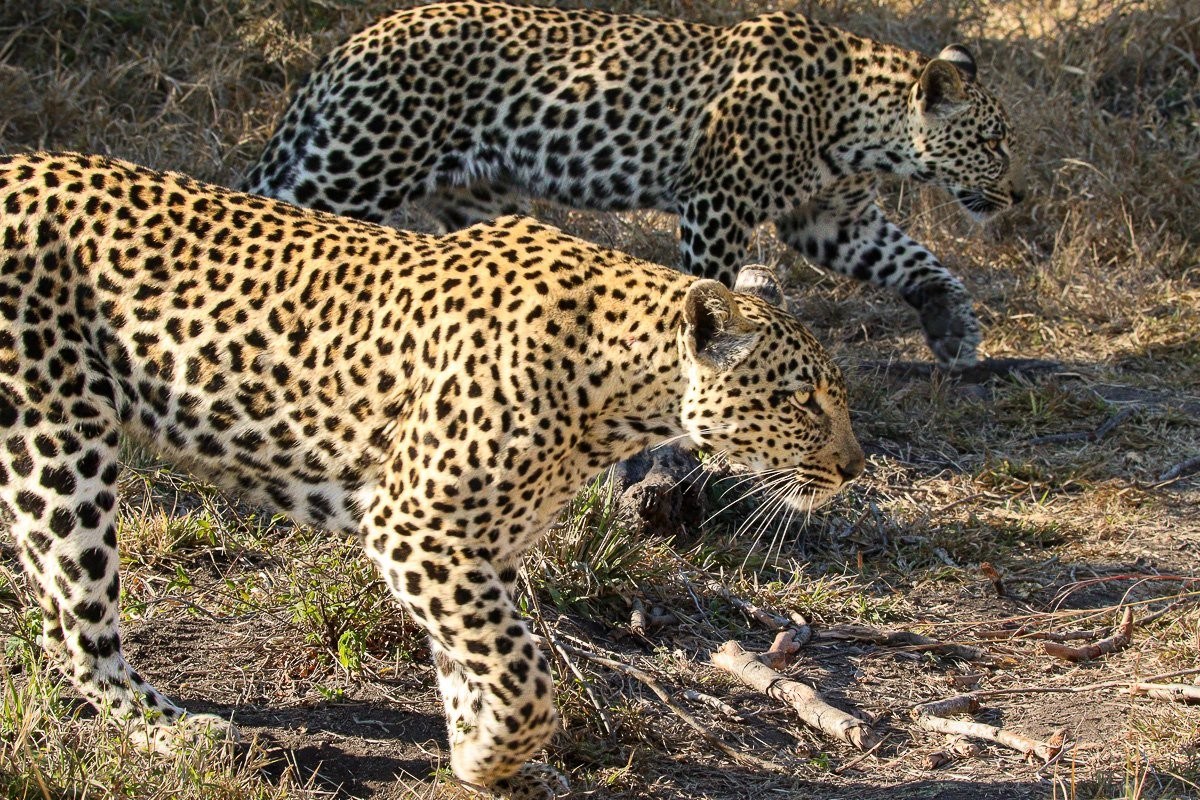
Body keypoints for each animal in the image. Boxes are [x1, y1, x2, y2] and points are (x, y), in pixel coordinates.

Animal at [0, 152, 864, 799]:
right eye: (799, 400)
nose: (855, 469)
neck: (617, 392)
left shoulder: (482, 550)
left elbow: (475, 667)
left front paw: (493, 763)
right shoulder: (416, 527)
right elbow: (522, 672)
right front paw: (488, 757)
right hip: (60, 444)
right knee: (76, 628)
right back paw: (170, 729)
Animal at [242, 0, 1025, 369]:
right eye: (992, 143)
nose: (1016, 199)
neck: (859, 120)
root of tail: (351, 44)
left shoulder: (833, 219)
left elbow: (921, 261)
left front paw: (954, 331)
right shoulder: (718, 199)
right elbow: (714, 283)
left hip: (475, 195)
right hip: (356, 163)